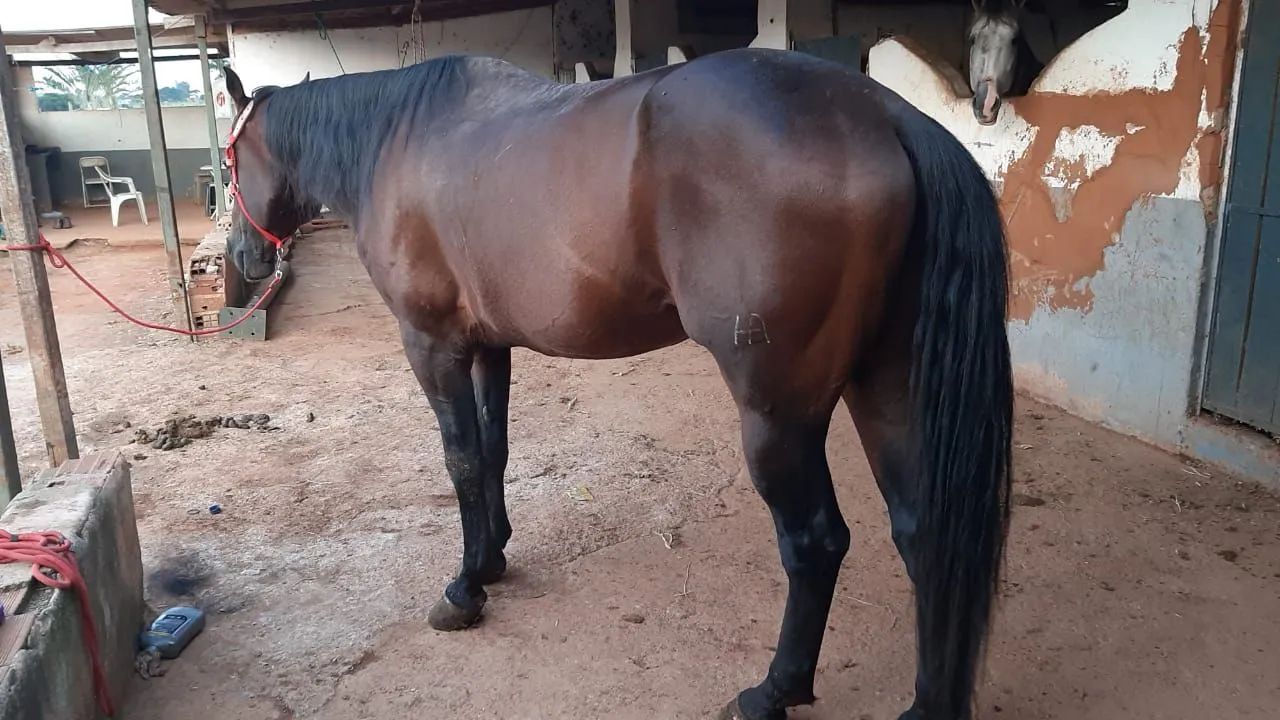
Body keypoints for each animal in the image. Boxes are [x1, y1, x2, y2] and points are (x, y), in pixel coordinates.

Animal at [221, 47, 1013, 720]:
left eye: (229, 160)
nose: (243, 262)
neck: (399, 140)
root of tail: (885, 115)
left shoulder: (433, 346)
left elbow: (463, 460)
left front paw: (465, 588)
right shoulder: (488, 347)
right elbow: (494, 454)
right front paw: (494, 556)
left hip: (779, 415)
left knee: (816, 543)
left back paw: (771, 691)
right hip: (886, 386)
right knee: (924, 531)